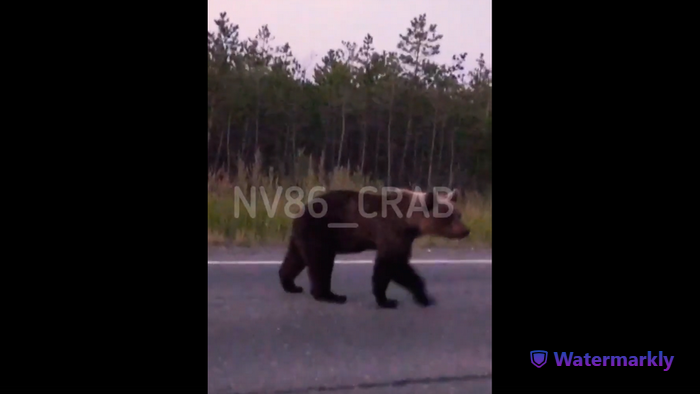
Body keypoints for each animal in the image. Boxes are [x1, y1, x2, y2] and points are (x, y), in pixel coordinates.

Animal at [274, 188, 470, 308]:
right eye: (449, 216)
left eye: (459, 214)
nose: (466, 230)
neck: (409, 221)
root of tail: (298, 215)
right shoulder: (391, 232)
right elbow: (392, 266)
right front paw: (388, 300)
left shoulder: (405, 238)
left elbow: (400, 264)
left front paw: (424, 297)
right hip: (320, 233)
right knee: (321, 263)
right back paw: (331, 295)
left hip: (303, 238)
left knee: (295, 259)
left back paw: (291, 285)